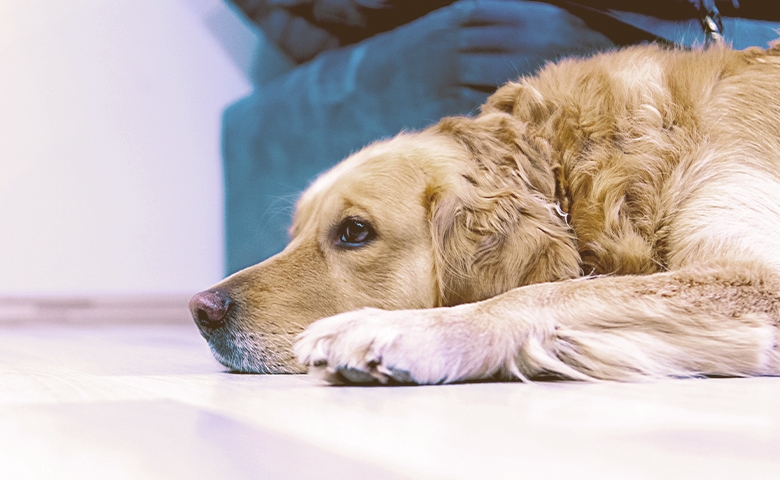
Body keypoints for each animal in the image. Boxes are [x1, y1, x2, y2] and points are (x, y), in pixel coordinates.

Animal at [190, 43, 780, 384]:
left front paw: (399, 331)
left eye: (354, 232)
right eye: (294, 234)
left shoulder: (760, 278)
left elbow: (548, 292)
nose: (201, 310)